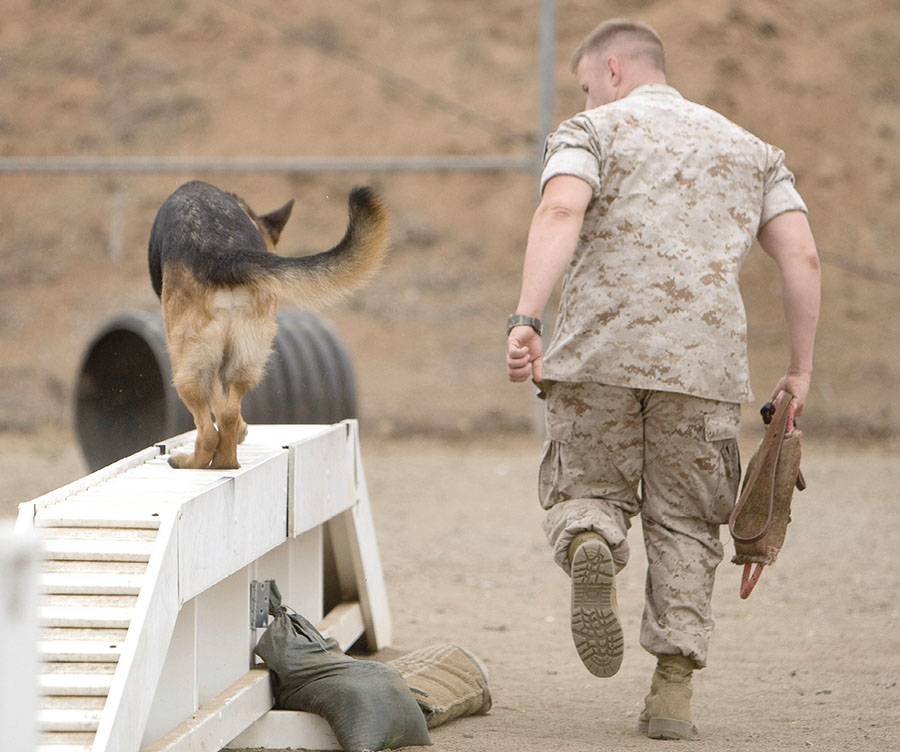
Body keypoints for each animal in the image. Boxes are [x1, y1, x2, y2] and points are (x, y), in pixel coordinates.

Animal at [147, 179, 386, 468]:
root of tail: (222, 252)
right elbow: (226, 406)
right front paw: (241, 432)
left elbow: (215, 402)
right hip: (247, 355)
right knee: (228, 414)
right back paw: (227, 461)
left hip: (187, 365)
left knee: (208, 430)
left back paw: (191, 462)